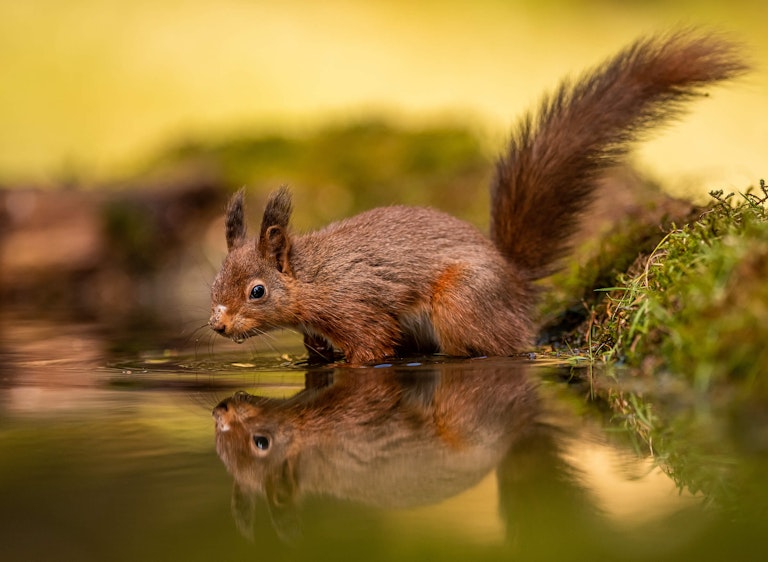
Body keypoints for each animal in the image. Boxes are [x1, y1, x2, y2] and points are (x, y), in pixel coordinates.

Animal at [207, 29, 748, 364]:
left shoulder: (354, 307)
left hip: (461, 302)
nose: (218, 326)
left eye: (257, 291)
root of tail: (515, 282)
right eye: (214, 284)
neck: (311, 278)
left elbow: (373, 345)